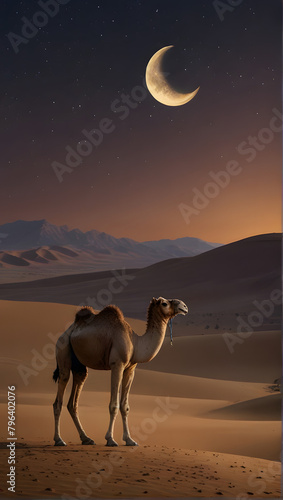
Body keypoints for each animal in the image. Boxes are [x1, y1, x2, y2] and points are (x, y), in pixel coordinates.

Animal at [53, 294, 189, 448]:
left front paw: (129, 440)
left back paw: (86, 438)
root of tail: (67, 332)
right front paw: (110, 439)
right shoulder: (117, 365)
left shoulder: (130, 369)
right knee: (59, 397)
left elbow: (125, 406)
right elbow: (114, 405)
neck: (136, 342)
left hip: (79, 365)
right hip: (62, 348)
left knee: (73, 401)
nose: (184, 307)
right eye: (165, 303)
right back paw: (59, 440)